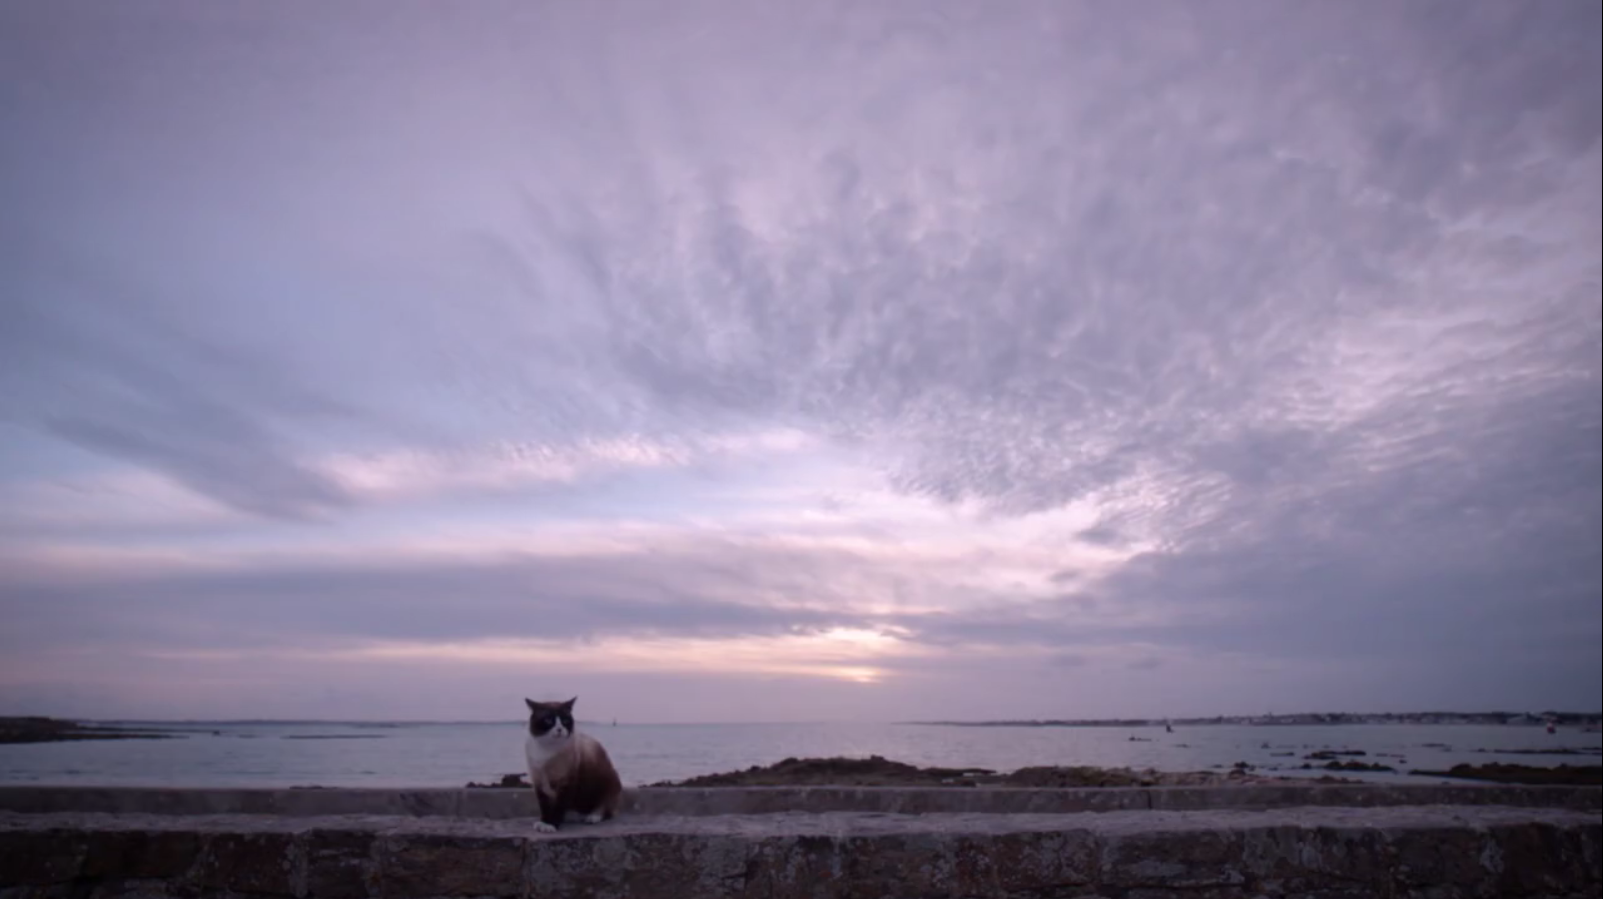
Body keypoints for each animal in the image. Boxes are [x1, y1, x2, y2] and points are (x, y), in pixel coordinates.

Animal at [528, 695, 621, 833]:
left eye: (565, 720)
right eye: (548, 720)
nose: (560, 729)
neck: (547, 749)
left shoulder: (566, 783)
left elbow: (558, 807)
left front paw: (552, 824)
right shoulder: (539, 783)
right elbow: (545, 807)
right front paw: (544, 822)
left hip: (611, 780)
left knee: (606, 809)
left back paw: (592, 817)